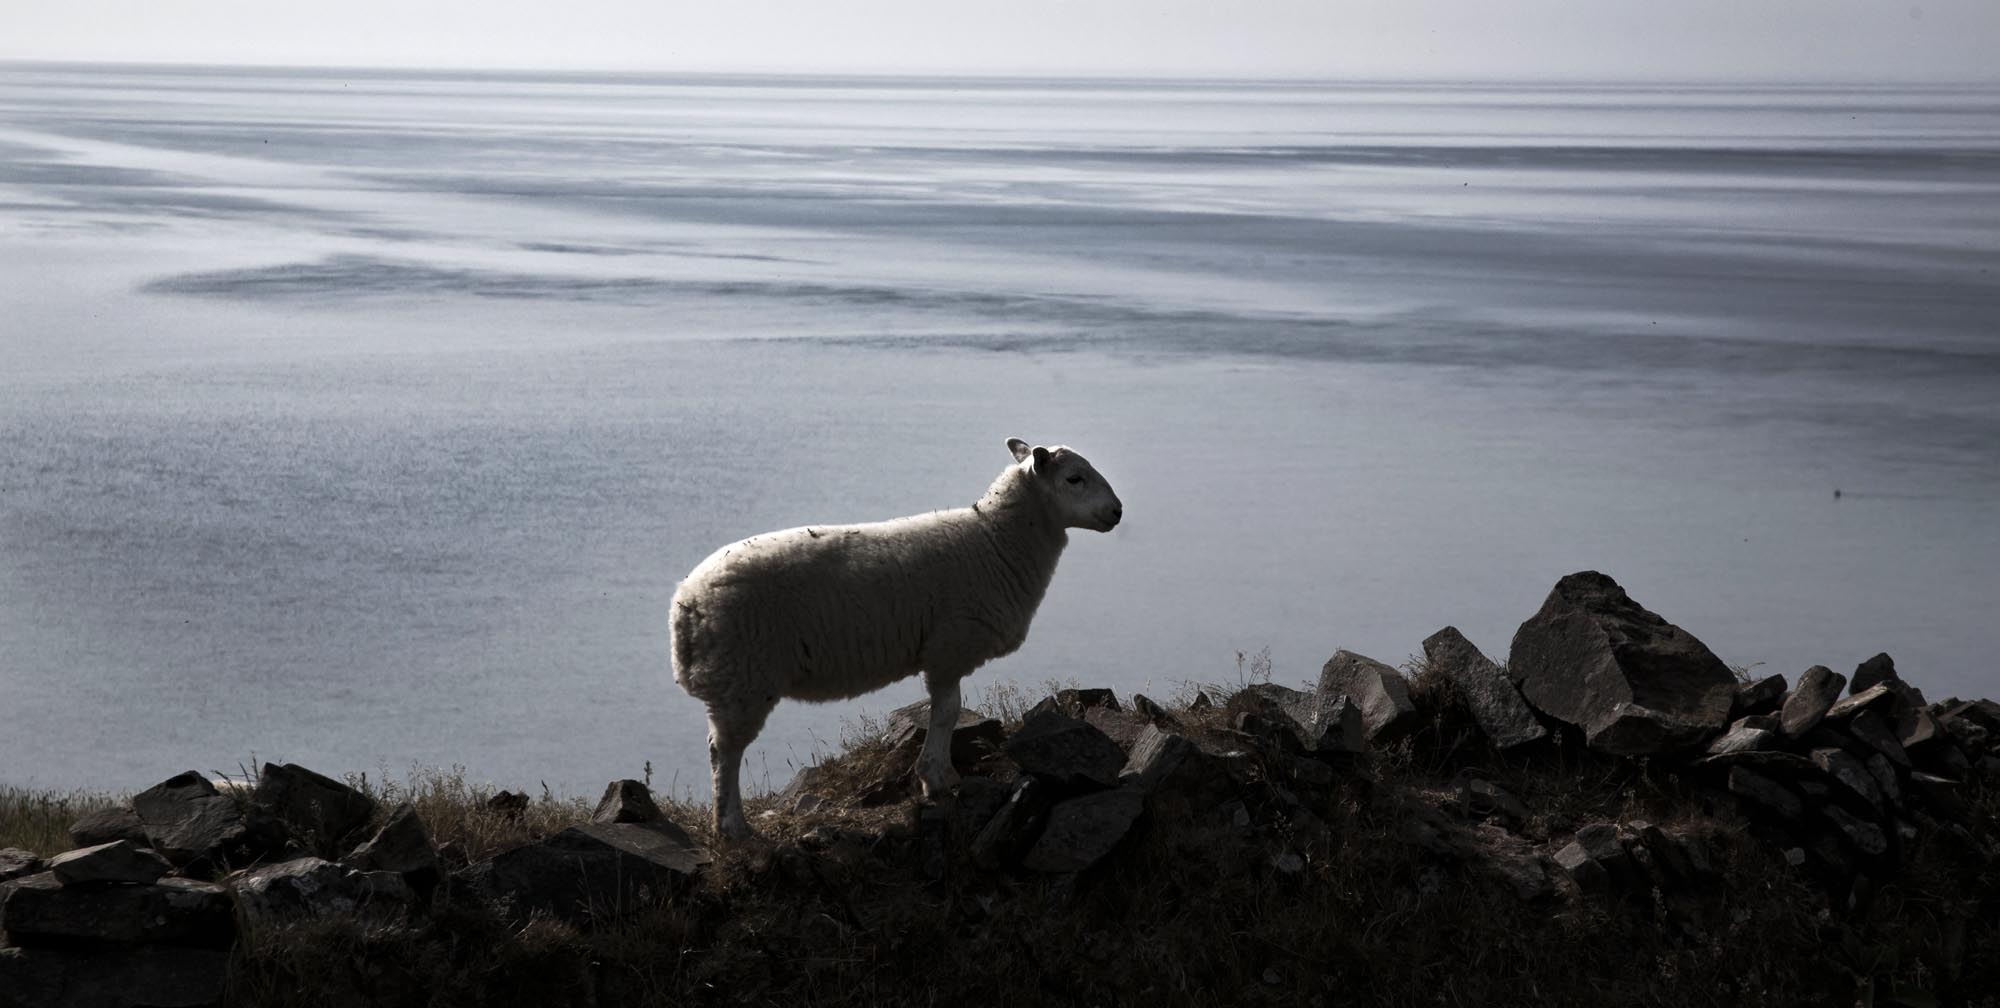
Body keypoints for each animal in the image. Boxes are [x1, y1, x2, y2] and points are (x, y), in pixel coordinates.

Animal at [670, 437, 1123, 839]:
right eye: (1075, 478)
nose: (1117, 511)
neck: (997, 542)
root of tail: (685, 604)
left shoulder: (945, 652)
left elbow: (945, 711)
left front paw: (938, 775)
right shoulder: (949, 648)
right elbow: (947, 712)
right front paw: (938, 779)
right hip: (744, 678)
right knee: (724, 754)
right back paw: (732, 828)